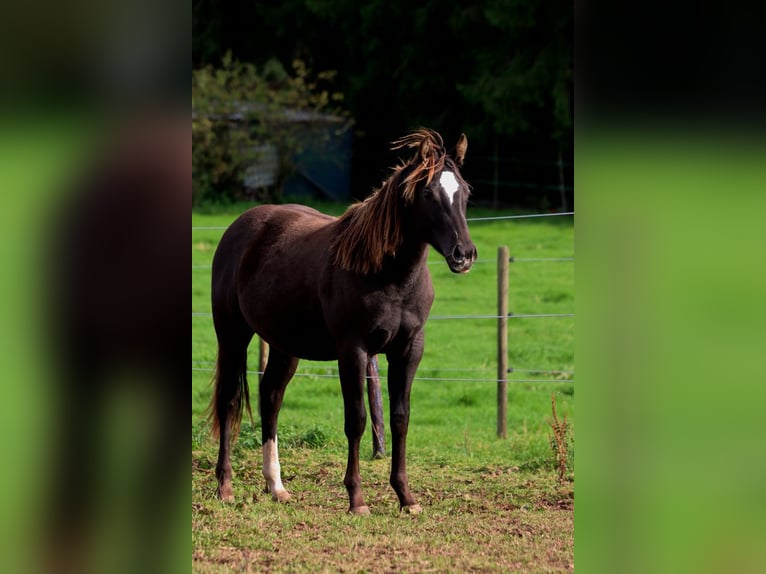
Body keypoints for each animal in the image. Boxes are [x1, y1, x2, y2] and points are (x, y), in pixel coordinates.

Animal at [209, 128, 477, 514]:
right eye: (428, 192)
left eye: (465, 192)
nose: (463, 254)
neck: (386, 273)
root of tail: (240, 228)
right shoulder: (354, 350)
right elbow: (357, 419)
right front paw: (357, 499)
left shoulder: (409, 349)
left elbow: (400, 418)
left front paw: (406, 497)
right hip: (232, 336)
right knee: (229, 401)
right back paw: (226, 487)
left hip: (284, 345)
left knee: (270, 398)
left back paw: (276, 486)